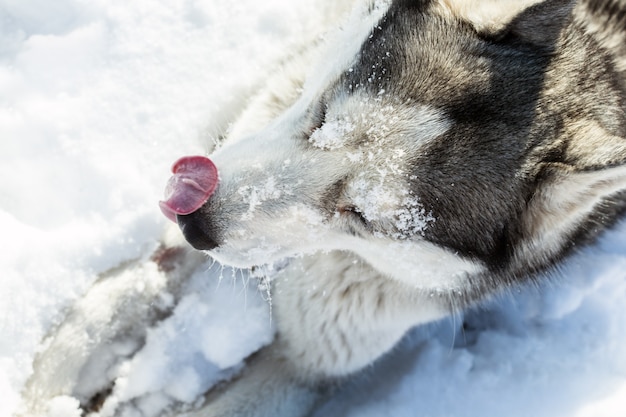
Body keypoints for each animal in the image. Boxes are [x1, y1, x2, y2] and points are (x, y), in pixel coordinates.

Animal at [19, 0, 624, 416]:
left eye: (361, 217)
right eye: (324, 116)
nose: (197, 222)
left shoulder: (308, 363)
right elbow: (123, 291)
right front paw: (48, 388)